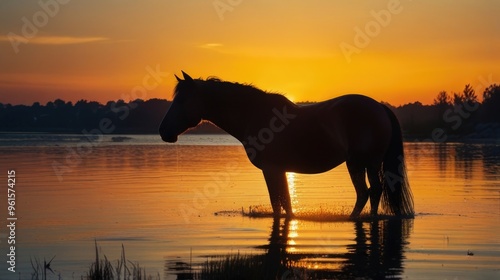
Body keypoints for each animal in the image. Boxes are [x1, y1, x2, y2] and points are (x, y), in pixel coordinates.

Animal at [160, 71, 414, 219]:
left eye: (182, 100)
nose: (163, 131)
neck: (255, 115)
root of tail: (379, 107)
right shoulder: (279, 170)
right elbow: (285, 203)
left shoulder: (271, 169)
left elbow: (277, 203)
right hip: (358, 163)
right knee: (367, 192)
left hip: (368, 162)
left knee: (372, 191)